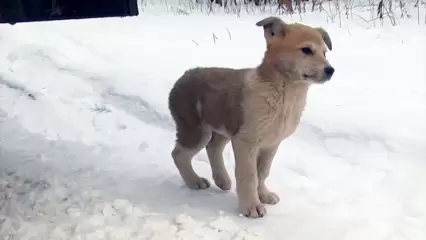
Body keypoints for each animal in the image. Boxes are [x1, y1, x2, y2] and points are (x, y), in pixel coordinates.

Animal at [168, 15, 334, 218]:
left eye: (325, 52)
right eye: (306, 50)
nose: (331, 70)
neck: (285, 96)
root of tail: (183, 76)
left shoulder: (271, 143)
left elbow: (262, 172)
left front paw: (263, 195)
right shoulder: (246, 141)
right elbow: (249, 175)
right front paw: (251, 206)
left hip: (224, 127)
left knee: (213, 147)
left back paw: (222, 180)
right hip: (195, 130)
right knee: (179, 154)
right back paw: (194, 181)